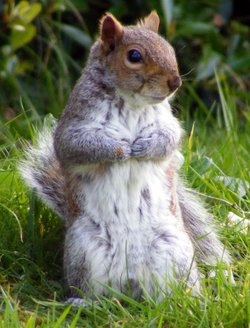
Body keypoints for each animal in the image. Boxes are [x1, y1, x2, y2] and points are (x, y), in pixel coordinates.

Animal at [20, 10, 232, 304]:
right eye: (134, 56)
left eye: (169, 48)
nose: (175, 82)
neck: (133, 102)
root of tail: (132, 286)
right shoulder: (74, 126)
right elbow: (76, 145)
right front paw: (120, 149)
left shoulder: (167, 123)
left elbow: (170, 138)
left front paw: (145, 147)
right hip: (84, 250)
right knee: (91, 291)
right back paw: (81, 303)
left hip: (175, 249)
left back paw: (190, 301)